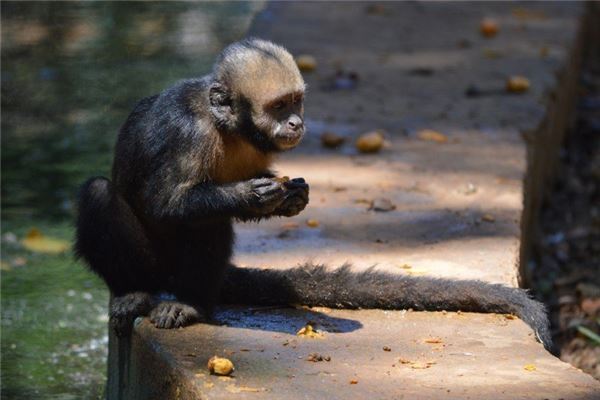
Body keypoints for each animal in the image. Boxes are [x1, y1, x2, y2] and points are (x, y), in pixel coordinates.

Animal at [75, 38, 552, 350]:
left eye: (295, 103)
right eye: (277, 107)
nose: (296, 124)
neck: (228, 126)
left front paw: (291, 198)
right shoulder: (188, 133)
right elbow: (165, 203)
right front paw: (252, 195)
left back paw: (194, 304)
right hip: (154, 267)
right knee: (103, 195)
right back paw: (136, 293)